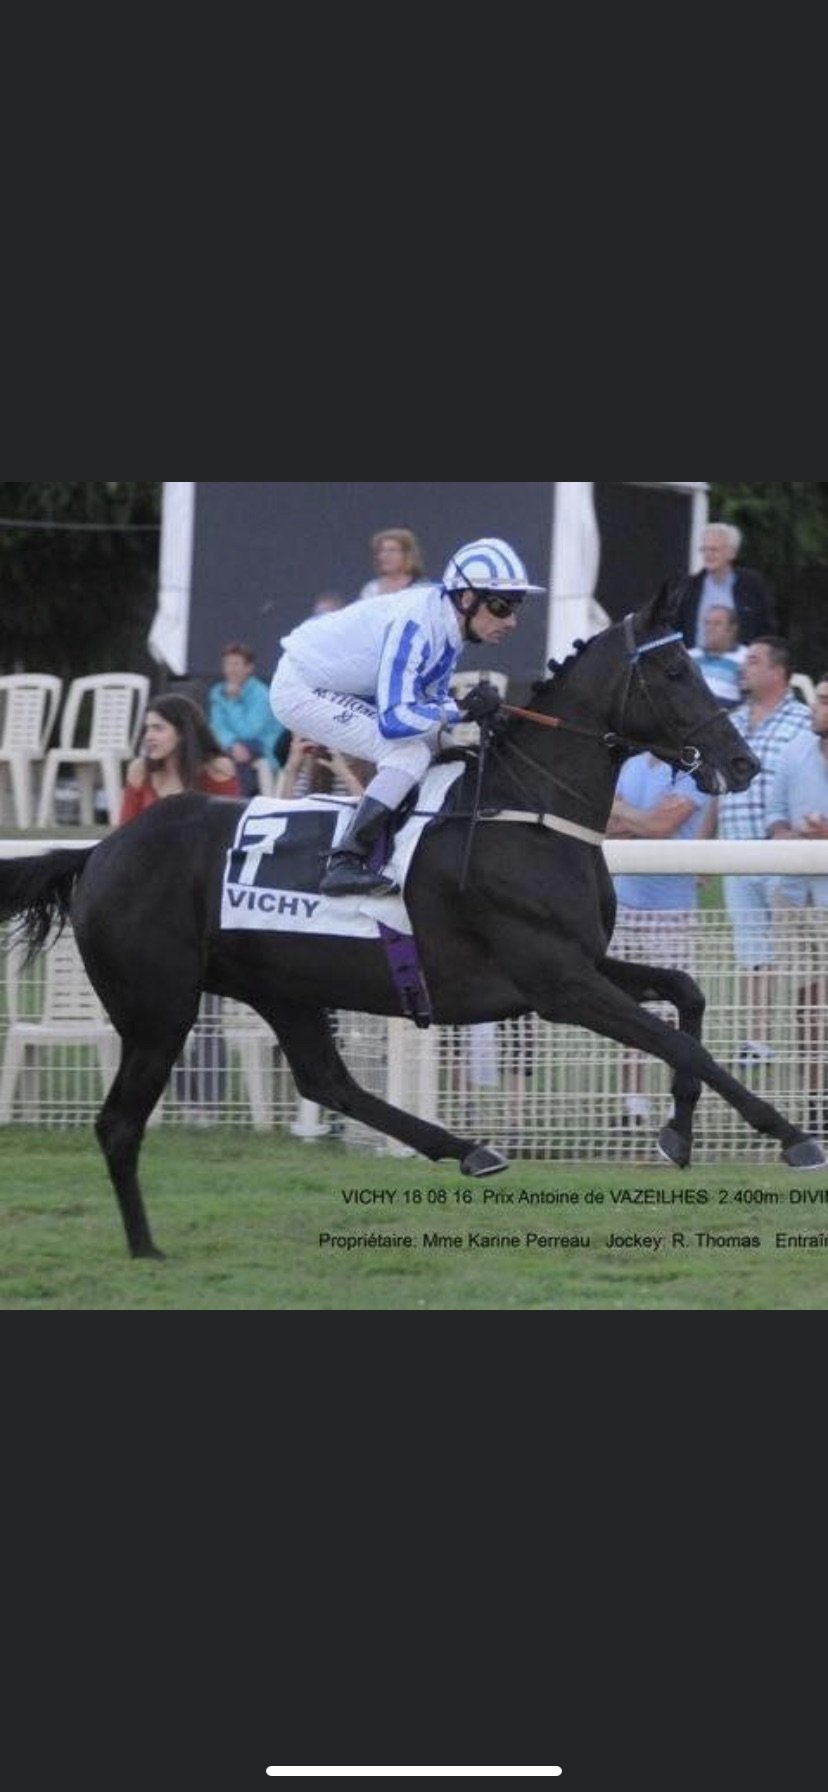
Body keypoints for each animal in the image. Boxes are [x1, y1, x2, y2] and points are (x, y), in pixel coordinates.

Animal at [2, 584, 824, 1260]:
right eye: (677, 672)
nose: (744, 764)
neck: (527, 810)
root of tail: (100, 849)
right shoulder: (558, 984)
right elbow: (680, 1043)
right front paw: (790, 1134)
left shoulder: (581, 963)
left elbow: (687, 994)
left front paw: (679, 1130)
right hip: (159, 1008)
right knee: (120, 1123)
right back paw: (145, 1248)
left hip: (280, 987)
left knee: (328, 1080)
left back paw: (469, 1149)